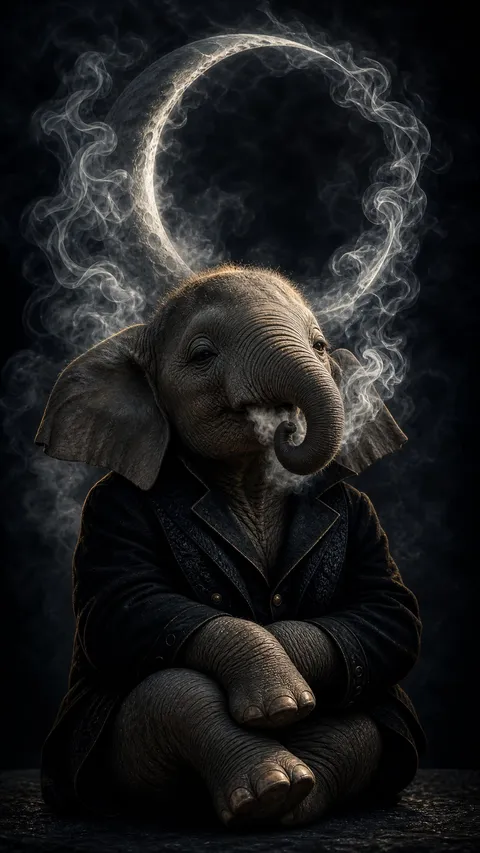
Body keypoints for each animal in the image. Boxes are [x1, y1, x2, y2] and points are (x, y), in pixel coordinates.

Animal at [35, 262, 425, 828]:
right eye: (202, 355)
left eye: (321, 347)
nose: (285, 425)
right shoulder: (108, 508)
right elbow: (121, 605)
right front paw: (280, 702)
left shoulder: (364, 513)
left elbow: (389, 610)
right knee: (171, 692)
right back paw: (271, 791)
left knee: (360, 718)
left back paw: (295, 798)